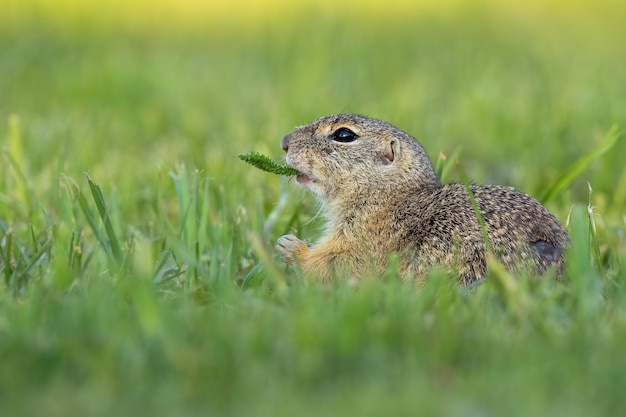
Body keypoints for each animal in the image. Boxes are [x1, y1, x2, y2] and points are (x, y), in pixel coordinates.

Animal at [276, 113, 568, 282]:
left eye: (344, 135)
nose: (284, 141)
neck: (388, 196)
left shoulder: (366, 241)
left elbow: (338, 265)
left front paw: (290, 246)